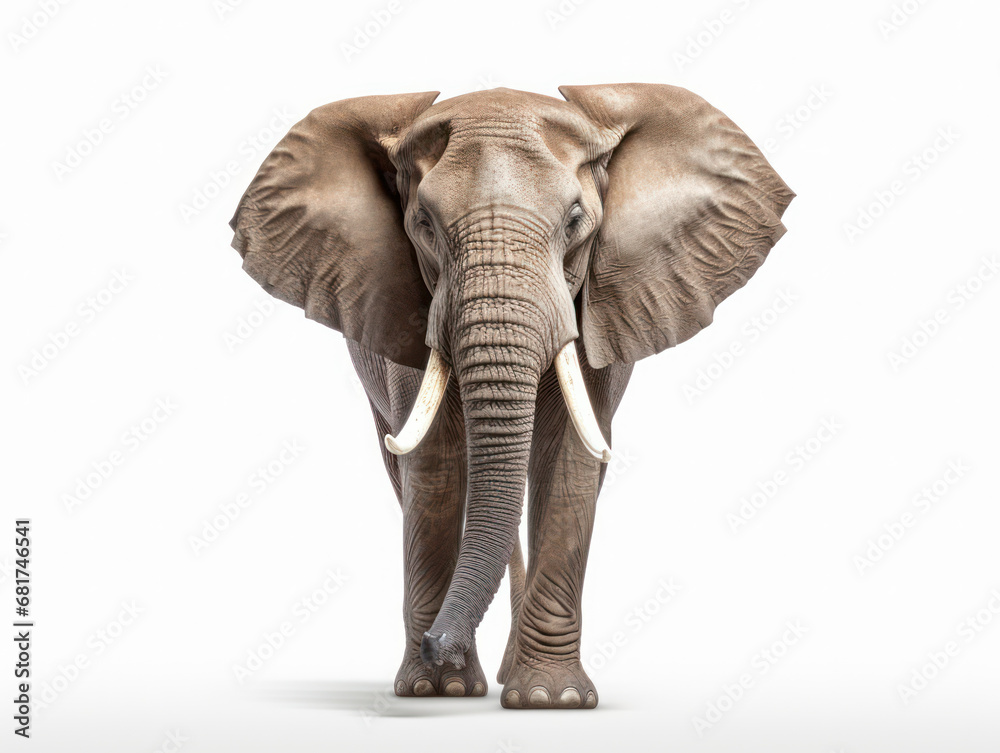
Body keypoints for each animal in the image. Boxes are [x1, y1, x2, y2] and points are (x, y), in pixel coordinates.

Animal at [229, 84, 793, 709]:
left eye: (575, 221)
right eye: (423, 224)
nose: (436, 644)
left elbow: (568, 460)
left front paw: (552, 699)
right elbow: (436, 466)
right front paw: (436, 689)